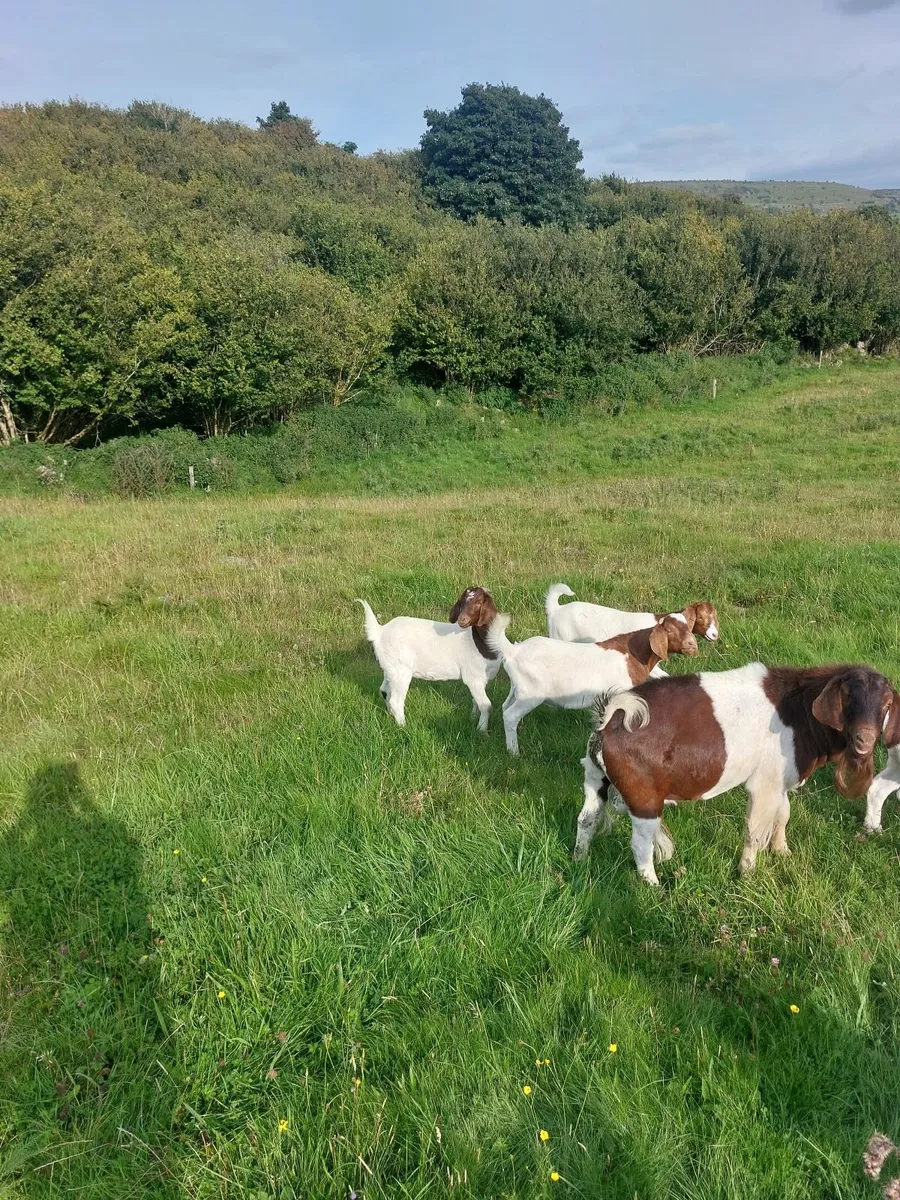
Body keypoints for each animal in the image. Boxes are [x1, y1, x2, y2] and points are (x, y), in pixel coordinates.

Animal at [356, 587, 501, 730]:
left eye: (479, 602)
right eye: (462, 602)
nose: (462, 619)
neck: (478, 642)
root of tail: (379, 631)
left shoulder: (482, 679)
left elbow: (476, 702)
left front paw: (473, 719)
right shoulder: (473, 677)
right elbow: (486, 705)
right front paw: (482, 730)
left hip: (390, 668)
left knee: (385, 691)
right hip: (401, 670)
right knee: (395, 700)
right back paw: (403, 726)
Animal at [486, 612, 698, 755]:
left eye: (688, 627)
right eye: (669, 630)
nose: (692, 645)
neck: (632, 655)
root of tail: (513, 650)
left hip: (517, 690)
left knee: (505, 706)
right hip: (530, 694)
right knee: (510, 715)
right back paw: (514, 752)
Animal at [577, 663, 897, 884]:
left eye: (886, 704)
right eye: (847, 696)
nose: (865, 740)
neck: (798, 711)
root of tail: (611, 717)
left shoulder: (779, 779)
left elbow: (783, 815)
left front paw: (782, 852)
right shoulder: (764, 784)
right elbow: (754, 831)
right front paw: (747, 873)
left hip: (595, 777)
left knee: (586, 818)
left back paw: (580, 858)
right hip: (642, 794)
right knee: (640, 843)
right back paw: (653, 886)